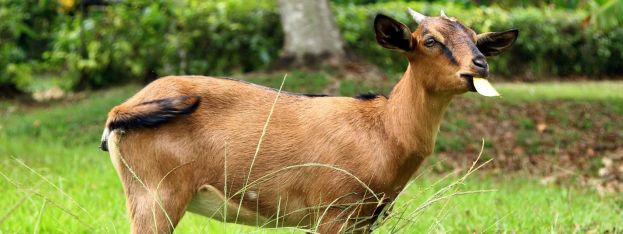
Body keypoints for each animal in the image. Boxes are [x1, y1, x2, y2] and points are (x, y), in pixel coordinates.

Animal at [102, 8, 520, 232]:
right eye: (430, 40)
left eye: (477, 39)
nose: (479, 65)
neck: (383, 129)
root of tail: (121, 110)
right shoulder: (332, 213)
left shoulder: (362, 220)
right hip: (156, 195)